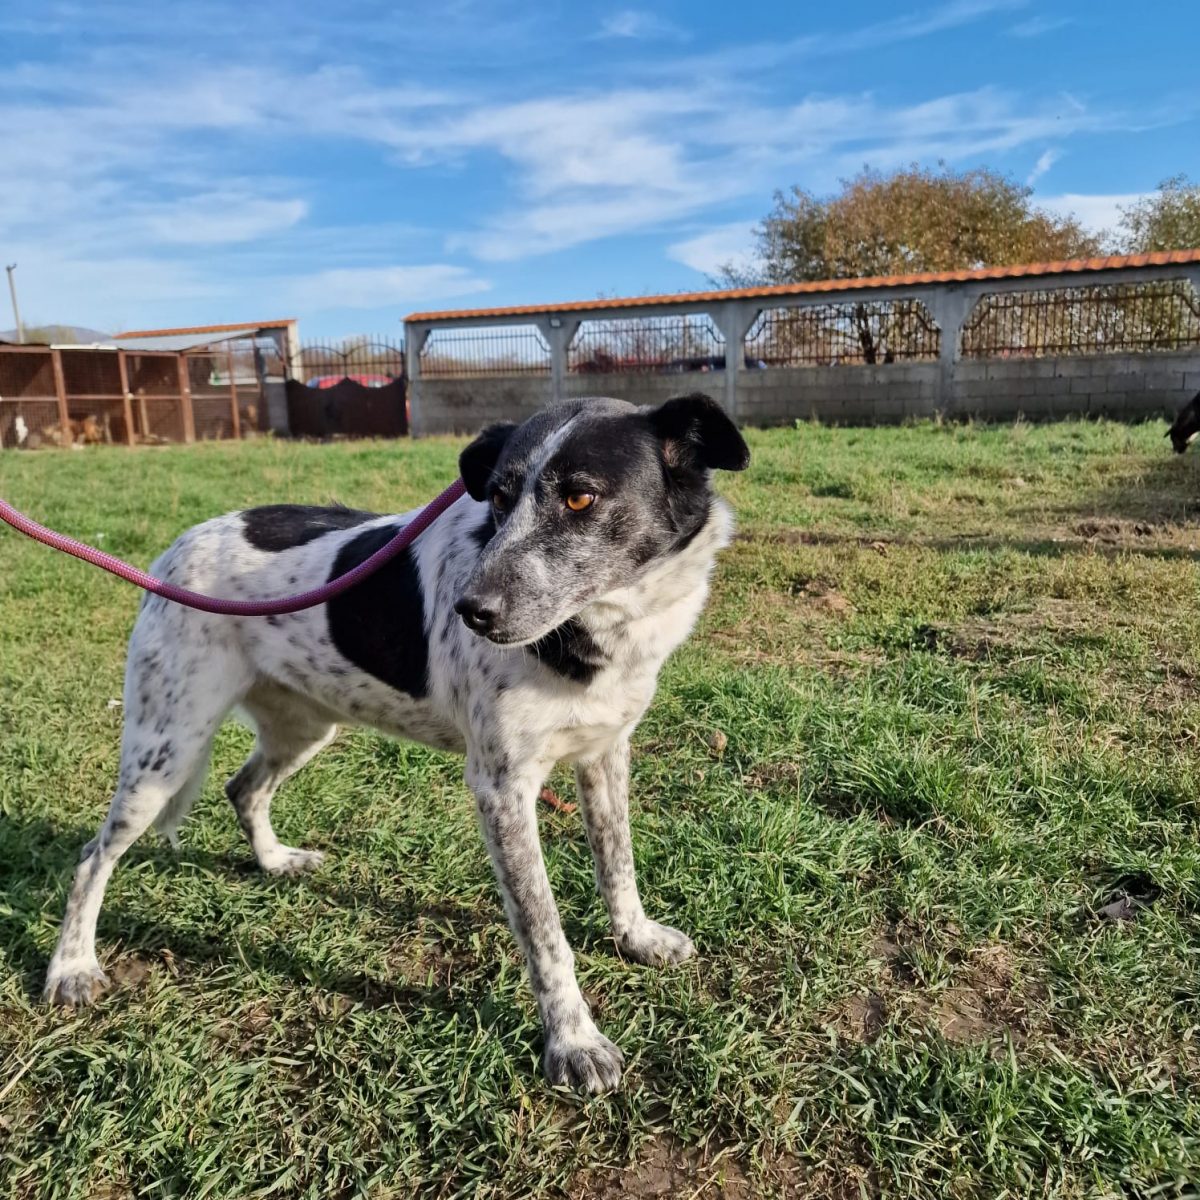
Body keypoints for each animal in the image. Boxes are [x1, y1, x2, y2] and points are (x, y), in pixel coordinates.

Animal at [43, 392, 750, 1092]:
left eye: (580, 499)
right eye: (498, 497)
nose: (471, 611)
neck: (601, 628)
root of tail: (178, 546)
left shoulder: (605, 755)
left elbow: (617, 863)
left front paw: (636, 937)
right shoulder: (501, 789)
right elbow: (545, 933)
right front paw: (574, 1041)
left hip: (303, 725)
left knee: (242, 788)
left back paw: (274, 861)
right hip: (166, 748)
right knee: (91, 858)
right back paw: (71, 966)